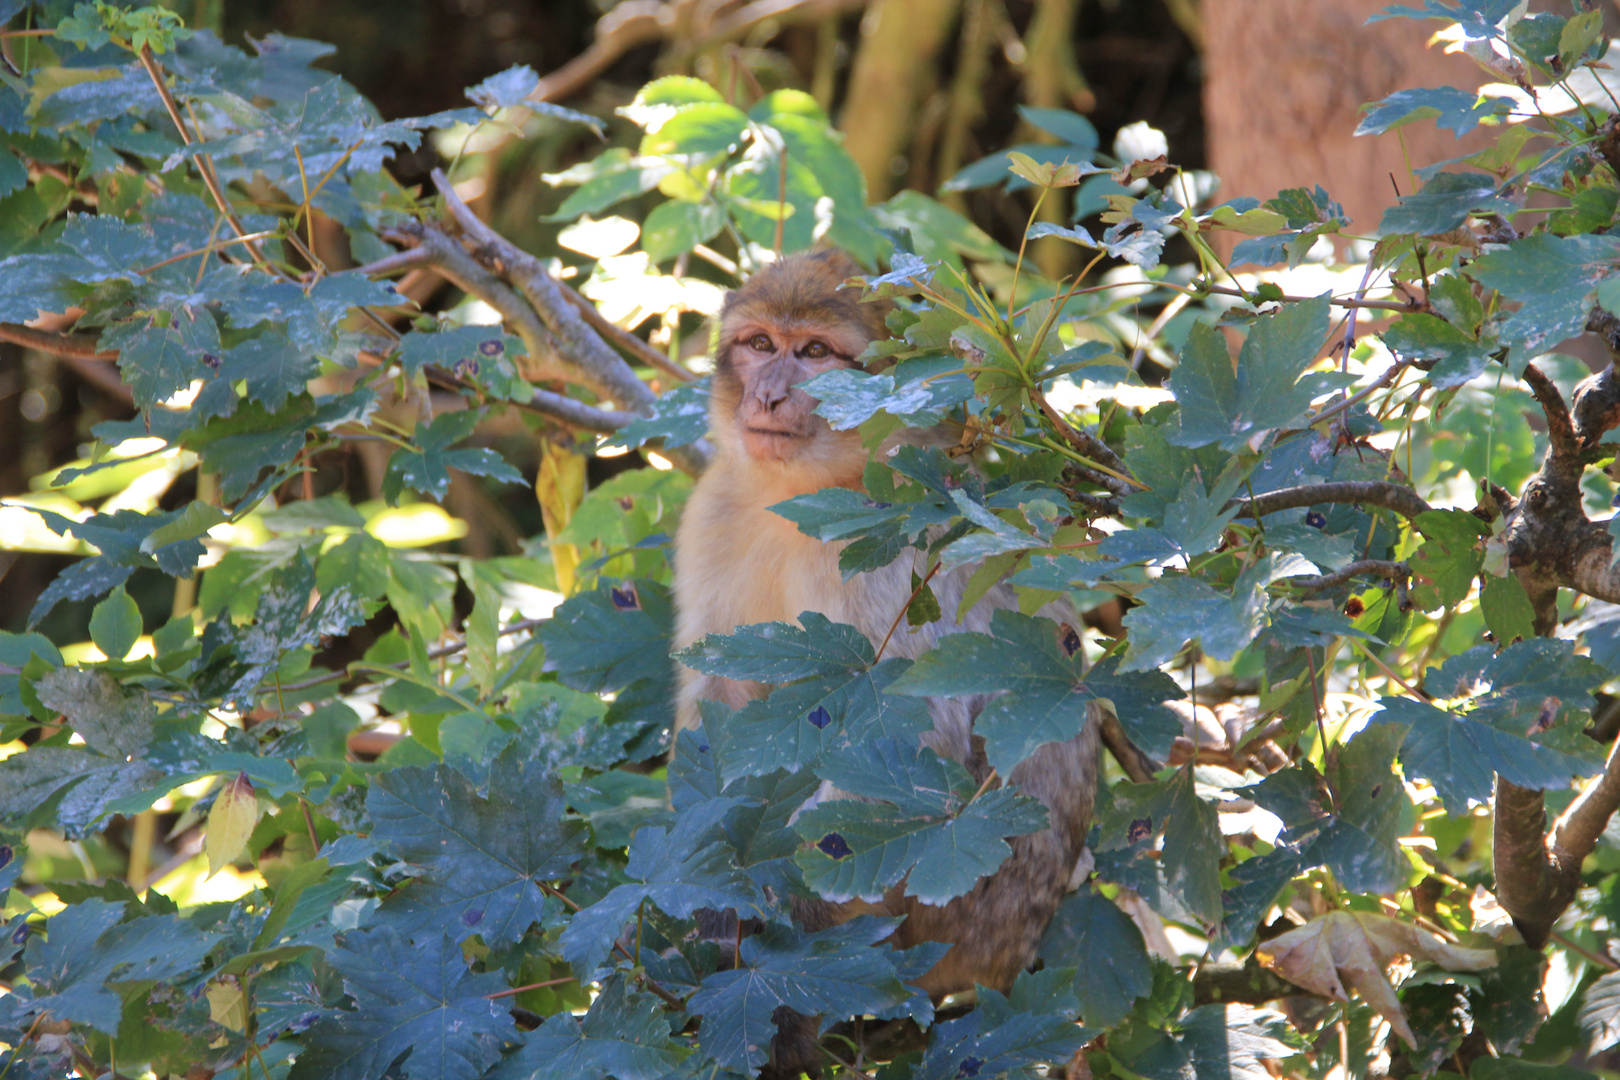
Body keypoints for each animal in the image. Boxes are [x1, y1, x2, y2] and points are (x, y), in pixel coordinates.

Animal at [670, 250, 1101, 1075]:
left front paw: (769, 921)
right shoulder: (711, 511)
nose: (769, 393)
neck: (803, 492)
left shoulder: (890, 544)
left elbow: (910, 737)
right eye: (760, 344)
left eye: (813, 353)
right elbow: (718, 712)